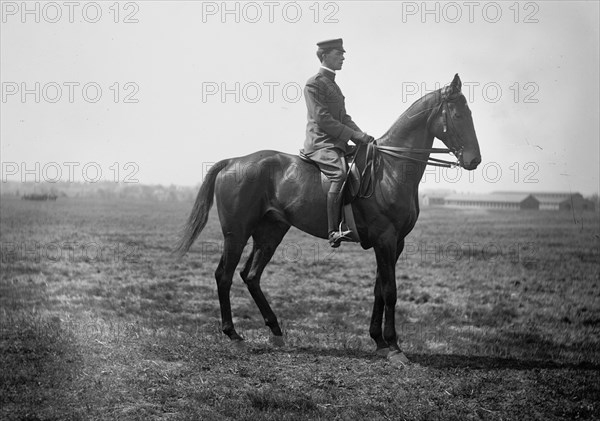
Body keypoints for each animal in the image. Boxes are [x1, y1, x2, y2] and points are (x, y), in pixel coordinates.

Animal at [176, 73, 480, 364]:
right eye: (458, 115)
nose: (474, 160)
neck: (391, 169)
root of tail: (233, 161)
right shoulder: (386, 239)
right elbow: (390, 290)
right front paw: (394, 347)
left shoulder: (395, 243)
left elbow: (379, 290)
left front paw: (379, 342)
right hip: (236, 234)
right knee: (224, 275)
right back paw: (234, 335)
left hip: (270, 232)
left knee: (250, 275)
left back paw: (276, 331)